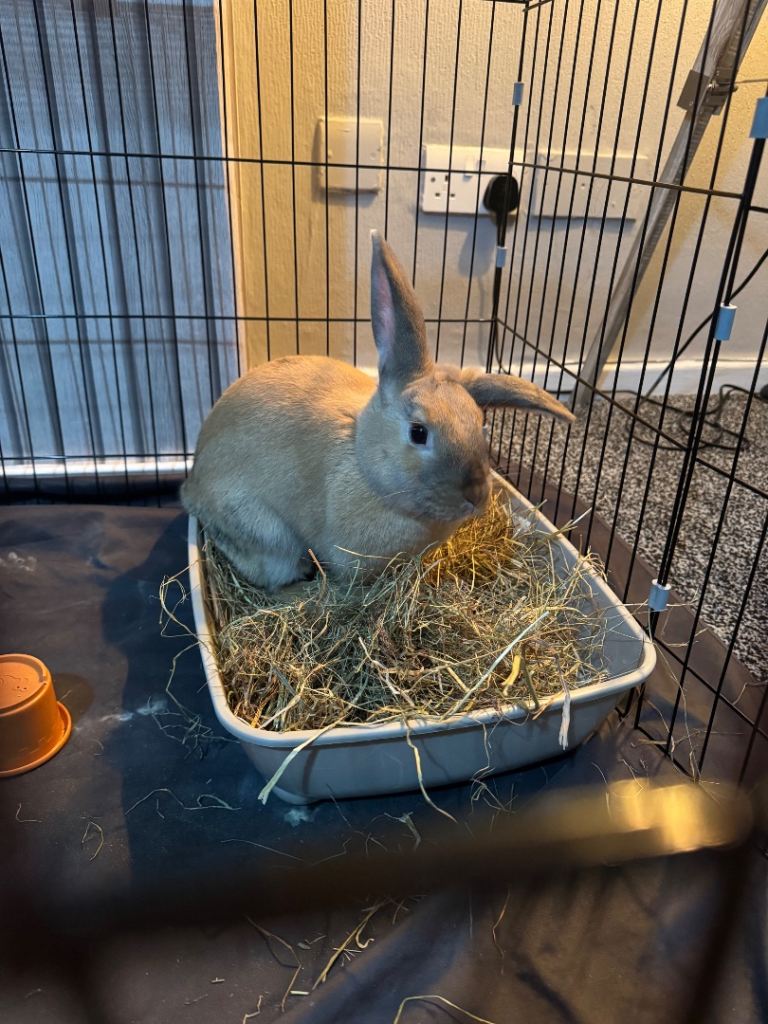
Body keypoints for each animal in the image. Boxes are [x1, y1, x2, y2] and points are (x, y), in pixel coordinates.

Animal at [181, 231, 574, 591]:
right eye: (418, 432)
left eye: (481, 423)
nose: (476, 496)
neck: (361, 456)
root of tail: (192, 486)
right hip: (269, 539)